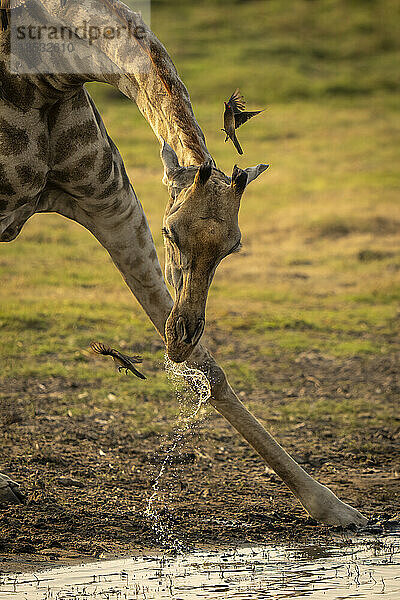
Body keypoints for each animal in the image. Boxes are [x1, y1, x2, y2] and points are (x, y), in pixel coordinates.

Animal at [0, 0, 368, 524]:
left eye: (234, 247)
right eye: (171, 232)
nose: (178, 340)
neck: (47, 76)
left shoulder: (111, 203)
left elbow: (211, 371)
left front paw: (331, 505)